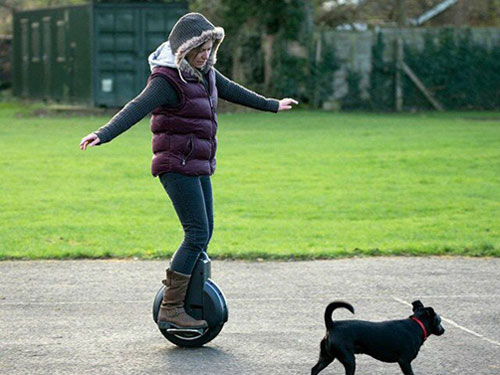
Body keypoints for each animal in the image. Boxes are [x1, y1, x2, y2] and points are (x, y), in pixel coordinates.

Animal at [312, 300, 446, 375]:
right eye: (439, 320)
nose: (443, 330)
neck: (417, 325)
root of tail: (332, 324)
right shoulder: (404, 361)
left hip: (326, 357)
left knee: (314, 369)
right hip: (349, 360)